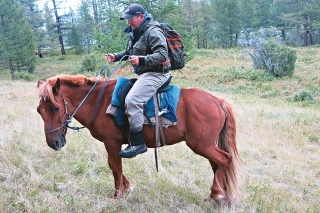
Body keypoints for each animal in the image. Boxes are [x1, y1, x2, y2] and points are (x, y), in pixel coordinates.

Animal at [36, 73, 240, 205]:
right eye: (39, 111)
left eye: (55, 108)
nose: (54, 143)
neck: (97, 102)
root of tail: (218, 101)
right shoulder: (112, 144)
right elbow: (113, 165)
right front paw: (126, 188)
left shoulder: (112, 143)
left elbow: (115, 168)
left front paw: (117, 195)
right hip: (206, 145)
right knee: (217, 164)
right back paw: (219, 196)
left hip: (201, 145)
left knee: (224, 159)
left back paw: (216, 195)